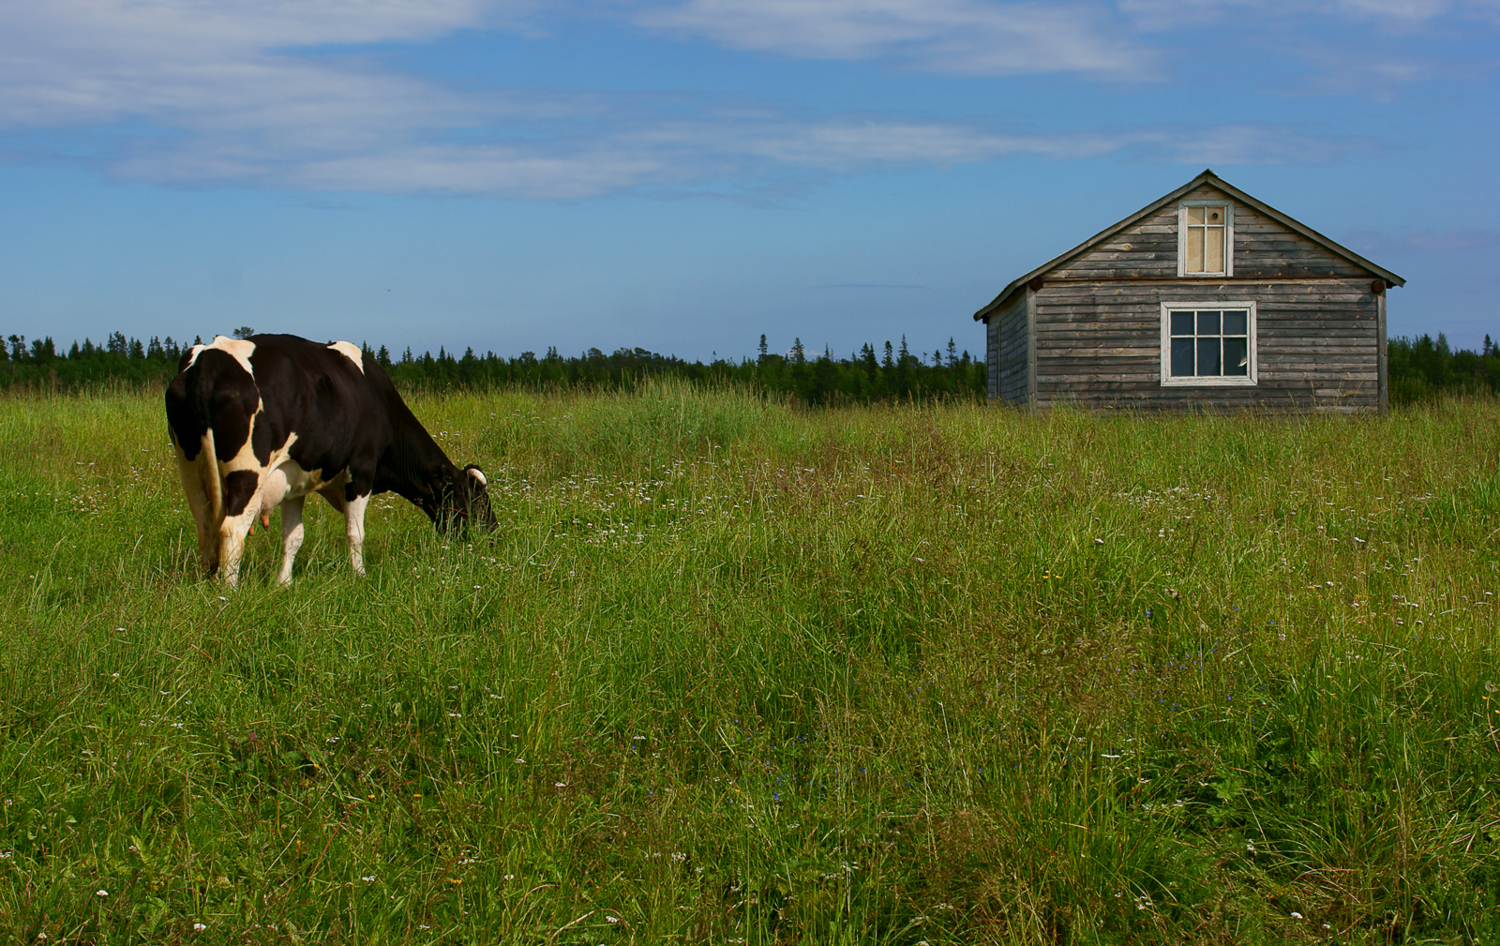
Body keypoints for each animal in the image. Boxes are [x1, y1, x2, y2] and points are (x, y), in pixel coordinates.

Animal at [168, 332, 498, 584]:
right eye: (478, 500)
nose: (493, 535)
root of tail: (209, 357)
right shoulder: (361, 472)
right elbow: (355, 533)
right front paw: (360, 577)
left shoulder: (293, 480)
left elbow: (293, 537)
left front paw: (283, 584)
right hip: (248, 472)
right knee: (231, 530)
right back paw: (229, 593)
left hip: (191, 468)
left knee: (206, 528)